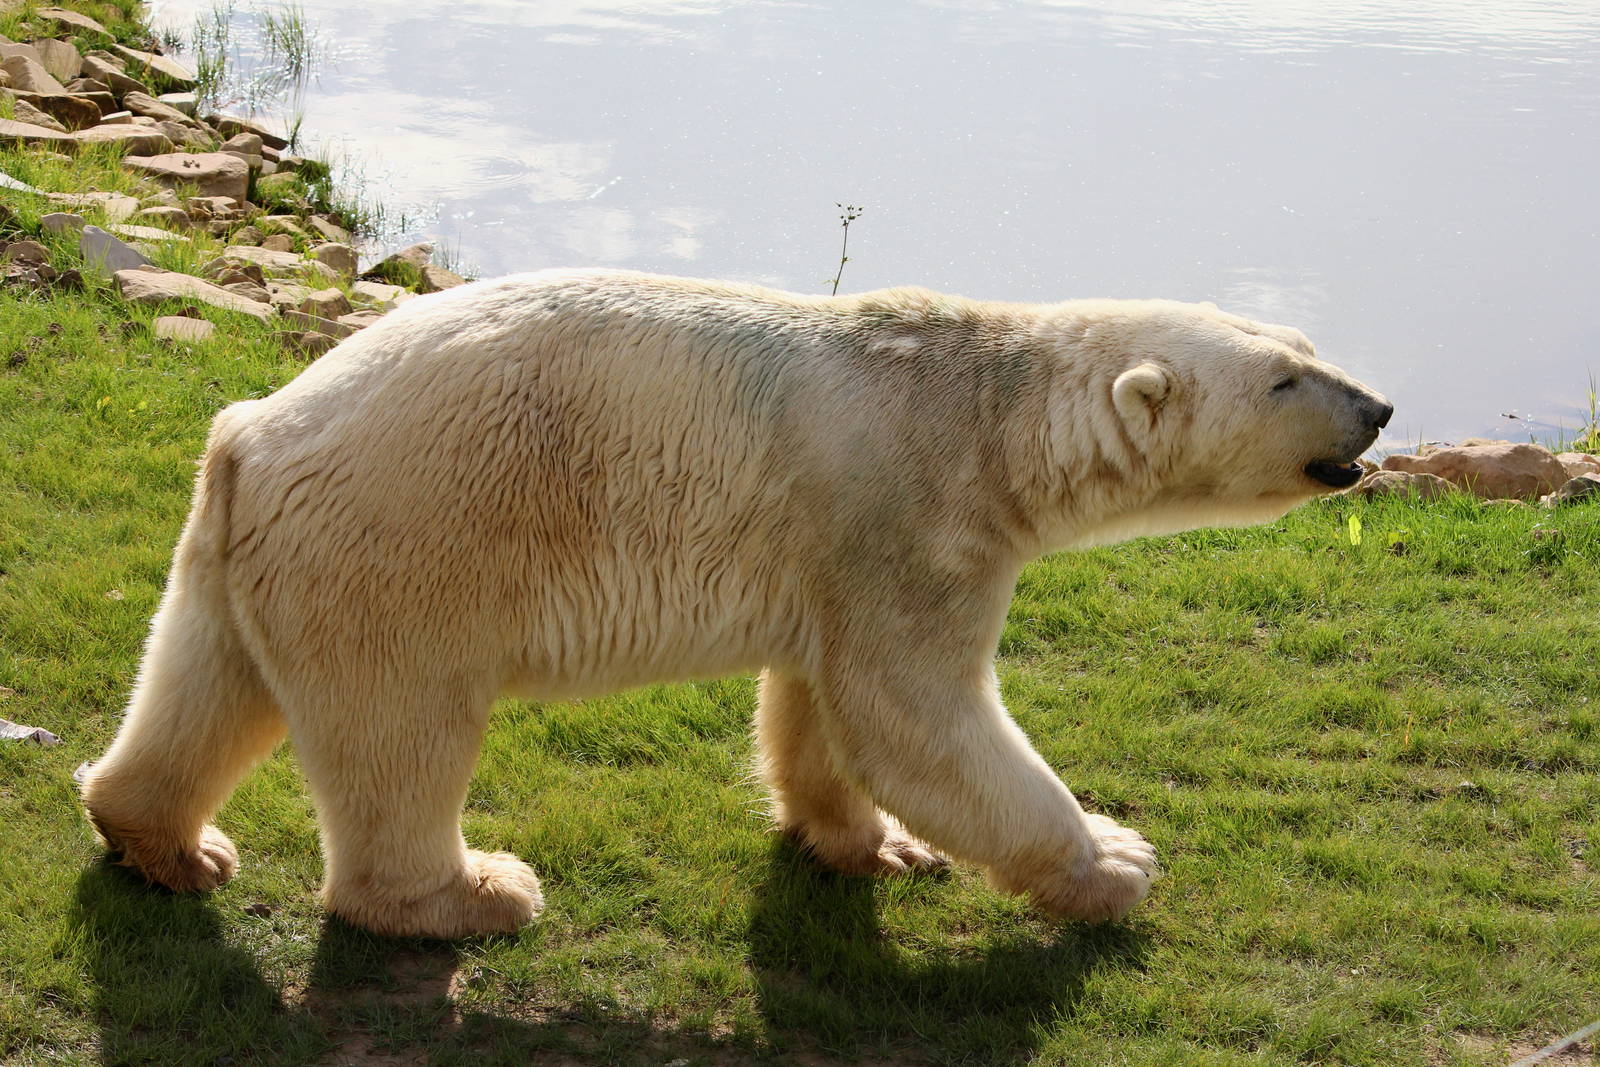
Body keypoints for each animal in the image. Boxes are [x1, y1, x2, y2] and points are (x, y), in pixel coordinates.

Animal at [80, 269, 1391, 938]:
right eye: (1285, 379)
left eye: (1303, 339)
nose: (1378, 406)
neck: (988, 407)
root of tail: (257, 431)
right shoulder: (913, 515)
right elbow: (919, 715)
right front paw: (1114, 858)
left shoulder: (837, 551)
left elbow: (822, 705)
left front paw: (872, 842)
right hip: (408, 540)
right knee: (404, 729)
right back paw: (474, 891)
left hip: (251, 547)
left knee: (207, 678)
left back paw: (166, 838)